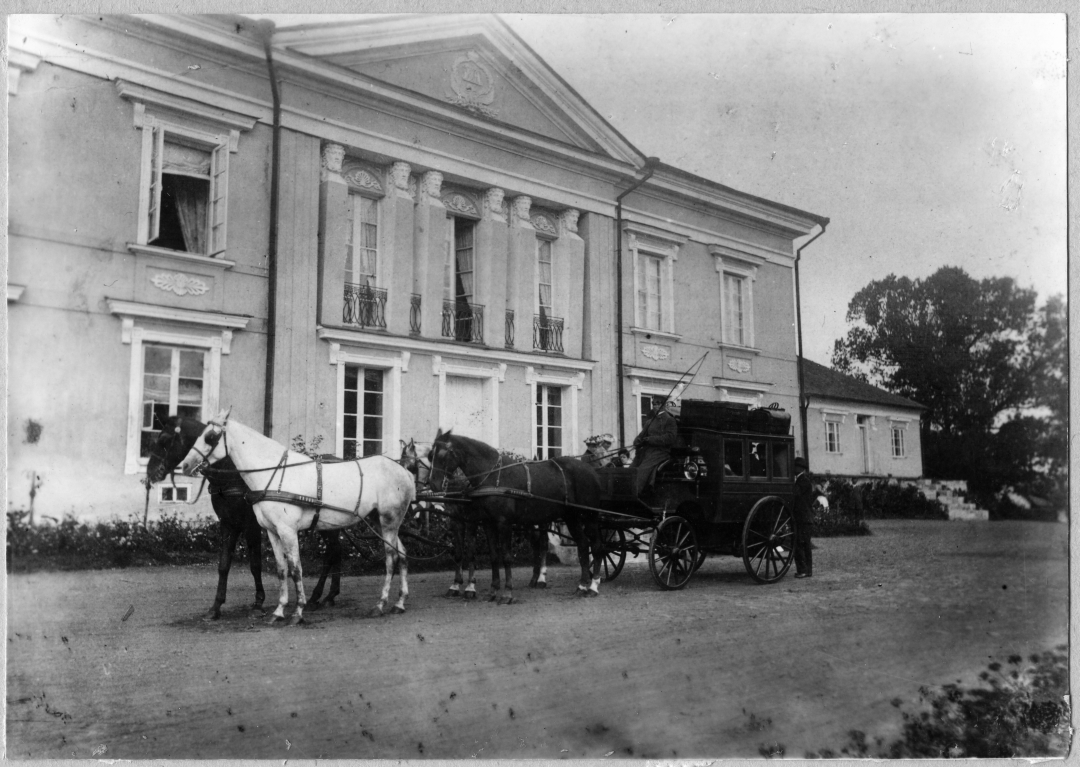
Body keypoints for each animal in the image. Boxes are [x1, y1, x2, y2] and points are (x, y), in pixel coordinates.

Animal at [145, 416, 343, 622]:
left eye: (164, 441)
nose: (151, 472)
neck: (232, 475)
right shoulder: (227, 524)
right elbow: (224, 565)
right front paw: (215, 607)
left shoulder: (251, 526)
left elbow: (255, 564)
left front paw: (258, 603)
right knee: (337, 551)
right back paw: (330, 595)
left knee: (332, 553)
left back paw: (317, 596)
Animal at [179, 412, 414, 626]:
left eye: (210, 436)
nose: (184, 465)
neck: (273, 473)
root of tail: (404, 471)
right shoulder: (271, 531)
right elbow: (281, 569)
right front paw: (278, 611)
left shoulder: (287, 531)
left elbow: (295, 569)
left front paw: (298, 611)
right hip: (379, 522)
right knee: (402, 554)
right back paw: (399, 603)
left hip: (388, 522)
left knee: (391, 558)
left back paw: (380, 604)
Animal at [425, 429, 609, 604]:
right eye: (430, 455)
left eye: (443, 454)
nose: (433, 483)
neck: (493, 476)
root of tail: (590, 470)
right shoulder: (487, 523)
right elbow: (493, 556)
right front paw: (492, 591)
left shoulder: (501, 523)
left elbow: (506, 557)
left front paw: (506, 593)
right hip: (571, 516)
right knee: (583, 544)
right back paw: (581, 585)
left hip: (589, 516)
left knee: (597, 546)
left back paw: (593, 586)